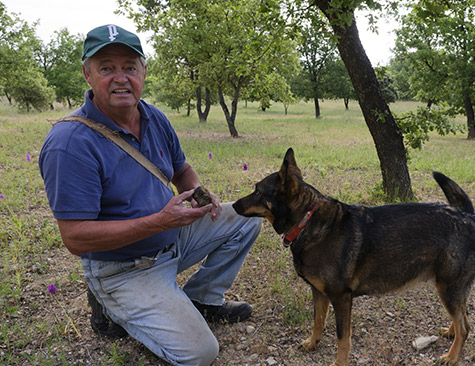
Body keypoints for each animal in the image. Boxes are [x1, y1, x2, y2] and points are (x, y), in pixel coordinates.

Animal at [234, 147, 475, 364]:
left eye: (258, 191)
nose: (234, 205)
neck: (307, 220)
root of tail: (467, 216)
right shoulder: (319, 293)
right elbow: (318, 322)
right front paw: (313, 344)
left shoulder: (341, 298)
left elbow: (342, 338)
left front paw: (339, 362)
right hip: (452, 289)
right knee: (463, 317)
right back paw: (451, 334)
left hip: (448, 287)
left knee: (465, 327)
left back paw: (452, 357)